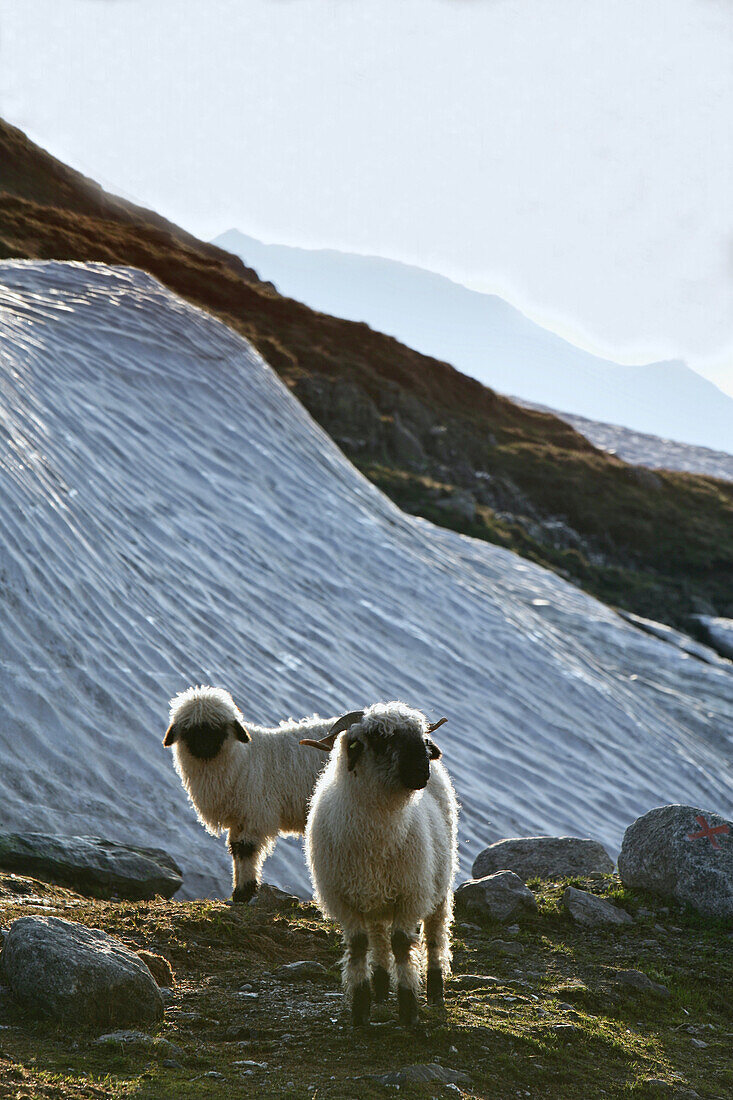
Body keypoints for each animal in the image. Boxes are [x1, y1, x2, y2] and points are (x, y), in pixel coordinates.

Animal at [162, 686, 336, 902]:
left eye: (218, 727)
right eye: (189, 729)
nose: (204, 746)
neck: (243, 758)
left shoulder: (255, 813)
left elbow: (246, 849)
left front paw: (245, 892)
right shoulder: (239, 818)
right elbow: (236, 849)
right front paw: (239, 892)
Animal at [299, 699, 453, 1025]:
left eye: (420, 735)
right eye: (379, 738)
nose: (422, 770)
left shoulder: (410, 895)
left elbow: (403, 945)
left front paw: (408, 1010)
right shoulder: (344, 900)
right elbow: (359, 946)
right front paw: (360, 1009)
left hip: (439, 887)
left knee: (434, 936)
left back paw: (435, 991)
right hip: (375, 899)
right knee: (379, 939)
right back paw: (380, 989)